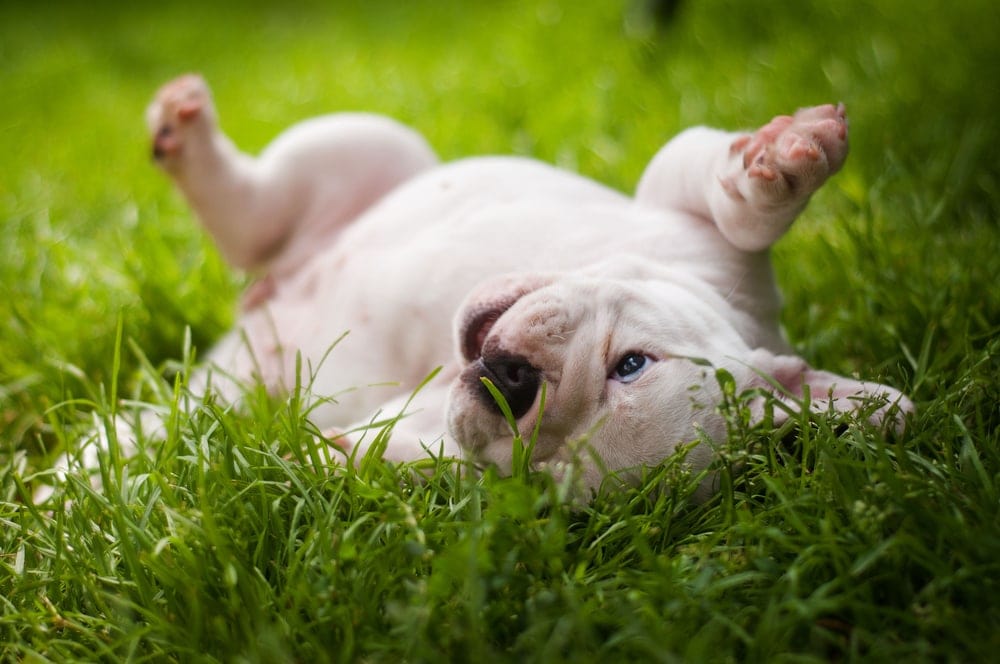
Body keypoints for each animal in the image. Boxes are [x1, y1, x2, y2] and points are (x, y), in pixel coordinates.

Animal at [143, 75, 916, 496]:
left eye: (536, 476)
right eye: (631, 364)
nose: (511, 385)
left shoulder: (431, 426)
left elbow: (406, 447)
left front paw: (341, 459)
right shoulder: (697, 225)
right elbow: (743, 211)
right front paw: (785, 163)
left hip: (227, 393)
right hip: (373, 146)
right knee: (262, 210)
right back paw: (187, 137)